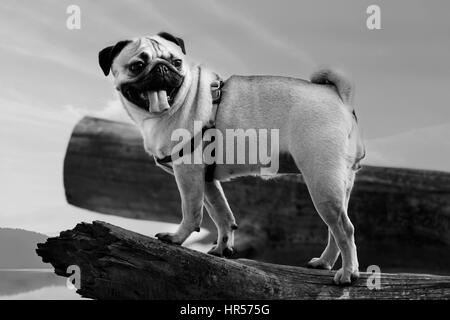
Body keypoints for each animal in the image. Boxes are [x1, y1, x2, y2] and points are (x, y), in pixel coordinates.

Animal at [98, 31, 366, 284]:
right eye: (137, 65)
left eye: (176, 62)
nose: (162, 69)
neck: (178, 101)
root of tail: (339, 98)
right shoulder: (206, 180)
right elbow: (221, 214)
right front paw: (222, 248)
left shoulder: (188, 173)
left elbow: (192, 211)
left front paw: (176, 238)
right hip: (338, 185)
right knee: (334, 229)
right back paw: (324, 262)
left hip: (321, 180)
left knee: (345, 229)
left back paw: (348, 273)